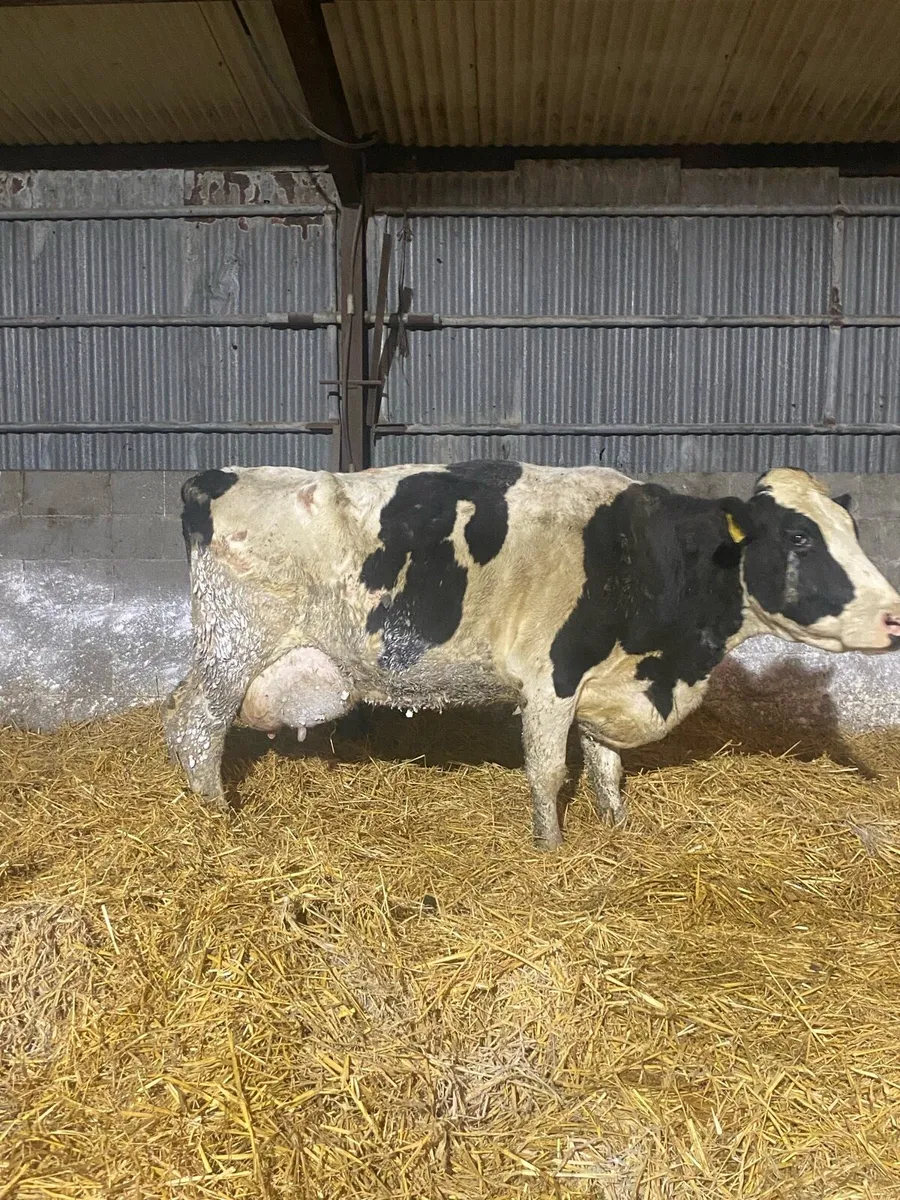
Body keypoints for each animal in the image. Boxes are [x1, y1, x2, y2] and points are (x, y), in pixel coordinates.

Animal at [164, 462, 900, 849]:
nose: (893, 613)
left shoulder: (605, 683)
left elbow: (606, 769)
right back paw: (216, 819)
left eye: (850, 529)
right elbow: (548, 772)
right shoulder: (554, 678)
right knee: (196, 726)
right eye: (800, 537)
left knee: (179, 715)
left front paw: (616, 828)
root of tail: (219, 477)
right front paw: (552, 849)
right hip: (235, 649)